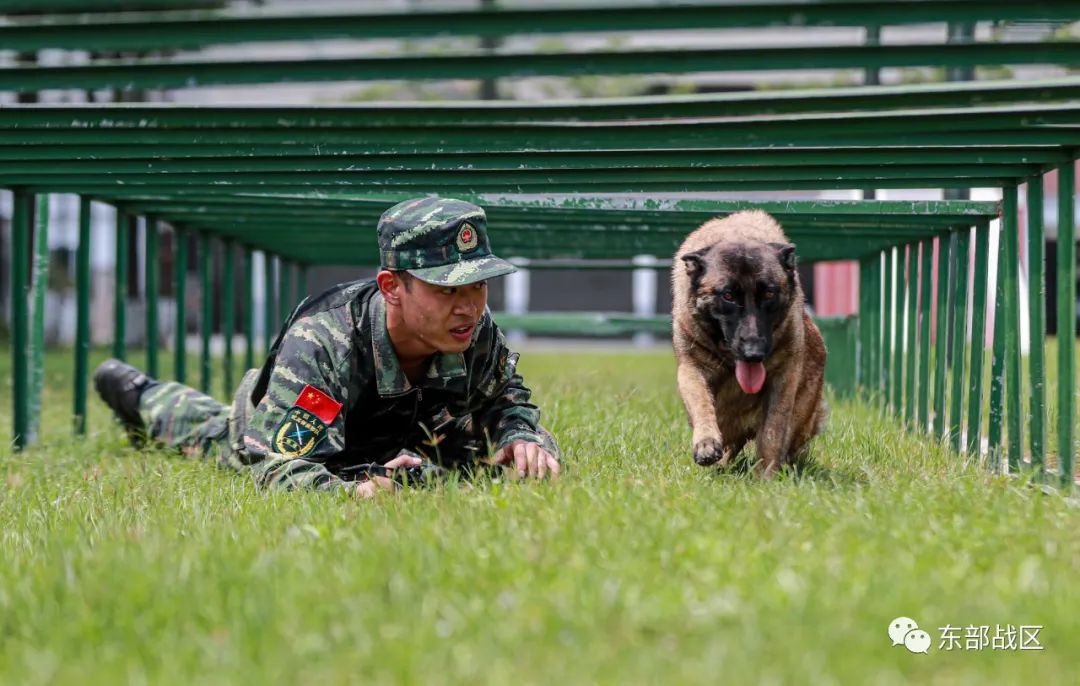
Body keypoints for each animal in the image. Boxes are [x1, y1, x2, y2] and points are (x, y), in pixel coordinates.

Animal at [673, 210, 825, 477]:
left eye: (769, 294)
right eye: (728, 296)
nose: (754, 354)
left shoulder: (783, 379)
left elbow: (772, 432)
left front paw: (765, 476)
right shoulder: (691, 369)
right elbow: (702, 403)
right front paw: (706, 444)